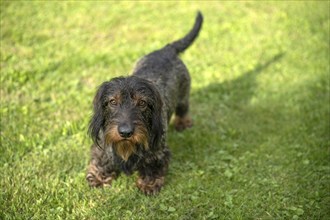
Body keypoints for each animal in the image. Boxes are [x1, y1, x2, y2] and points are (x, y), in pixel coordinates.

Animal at [86, 12, 202, 195]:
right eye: (112, 101)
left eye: (142, 103)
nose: (125, 132)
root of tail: (166, 49)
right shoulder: (103, 146)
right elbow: (101, 159)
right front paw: (98, 176)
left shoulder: (157, 151)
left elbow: (152, 165)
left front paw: (149, 183)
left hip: (184, 95)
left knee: (183, 109)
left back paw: (183, 122)